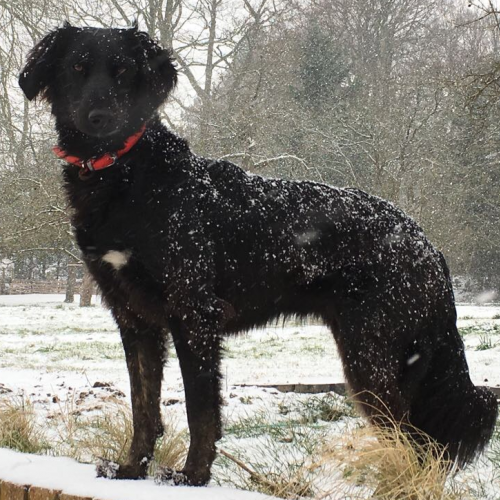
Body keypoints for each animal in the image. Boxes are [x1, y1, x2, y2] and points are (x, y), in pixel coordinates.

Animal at [18, 24, 496, 484]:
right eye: (78, 68)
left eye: (122, 71)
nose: (100, 118)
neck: (125, 174)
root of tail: (427, 243)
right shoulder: (134, 319)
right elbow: (144, 409)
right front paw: (131, 470)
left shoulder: (194, 314)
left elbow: (201, 411)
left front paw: (192, 477)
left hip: (372, 354)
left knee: (416, 443)